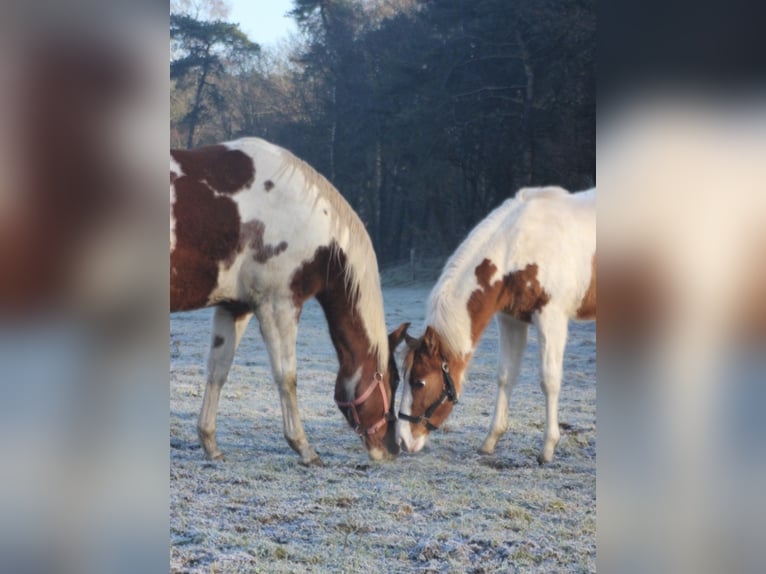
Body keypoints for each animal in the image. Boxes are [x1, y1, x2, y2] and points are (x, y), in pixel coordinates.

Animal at [170, 137, 409, 465]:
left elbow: (218, 371)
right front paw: (304, 448)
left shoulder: (235, 307)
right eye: (393, 380)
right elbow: (287, 377)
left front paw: (210, 444)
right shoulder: (279, 305)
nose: (392, 448)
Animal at [397, 186, 596, 464]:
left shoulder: (551, 317)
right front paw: (490, 441)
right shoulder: (511, 319)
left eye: (419, 382)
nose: (403, 441)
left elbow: (549, 380)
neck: (518, 246)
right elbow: (505, 376)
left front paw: (547, 448)